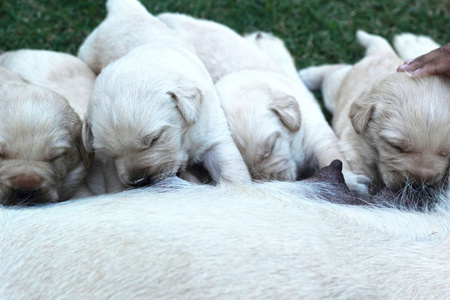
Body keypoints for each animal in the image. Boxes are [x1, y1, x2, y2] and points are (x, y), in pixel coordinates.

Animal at [78, 0, 251, 192]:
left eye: (155, 139)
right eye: (109, 152)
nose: (139, 181)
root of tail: (122, 9)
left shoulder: (213, 133)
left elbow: (229, 167)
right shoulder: (109, 165)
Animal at [158, 12, 370, 193]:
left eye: (271, 147)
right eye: (248, 167)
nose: (277, 181)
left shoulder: (315, 131)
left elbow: (332, 153)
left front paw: (351, 181)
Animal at [298, 31, 450, 192]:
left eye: (447, 152)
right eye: (396, 147)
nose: (420, 185)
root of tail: (385, 53)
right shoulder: (355, 150)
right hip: (334, 89)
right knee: (334, 71)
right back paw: (307, 75)